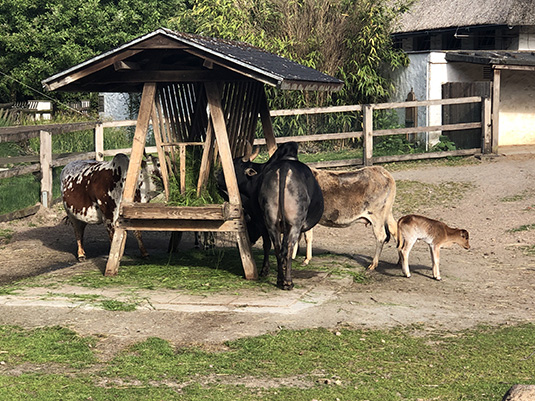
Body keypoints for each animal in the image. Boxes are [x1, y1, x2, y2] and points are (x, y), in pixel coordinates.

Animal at [221, 142, 324, 290]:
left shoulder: (263, 223)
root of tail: (284, 168)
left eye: (236, 166)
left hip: (272, 222)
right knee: (286, 247)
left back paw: (281, 279)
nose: (218, 175)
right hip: (294, 223)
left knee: (278, 247)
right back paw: (287, 282)